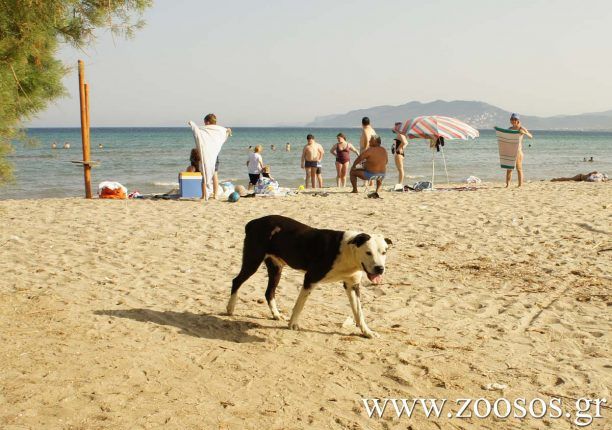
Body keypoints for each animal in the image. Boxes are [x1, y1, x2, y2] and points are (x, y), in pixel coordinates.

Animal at [227, 215, 394, 340]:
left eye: (384, 252)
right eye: (368, 252)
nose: (379, 269)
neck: (348, 254)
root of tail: (254, 222)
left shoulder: (352, 285)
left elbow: (359, 312)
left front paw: (367, 332)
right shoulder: (310, 278)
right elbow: (299, 305)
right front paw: (293, 324)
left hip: (276, 269)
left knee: (269, 292)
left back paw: (276, 314)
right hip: (252, 261)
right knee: (237, 281)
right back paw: (230, 308)